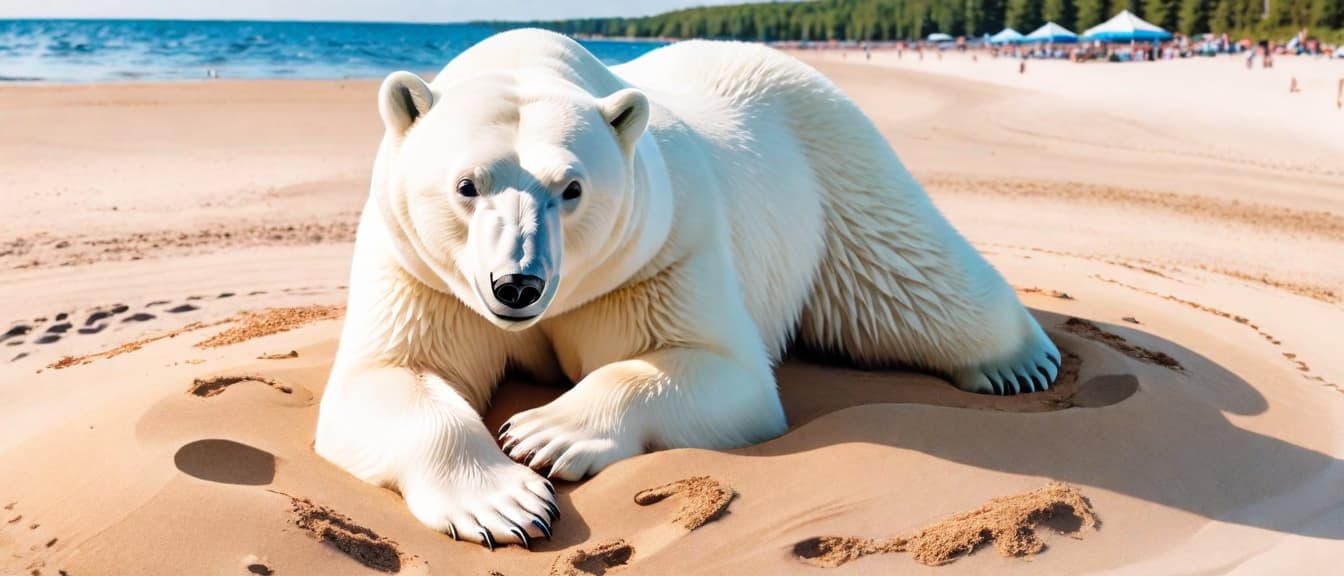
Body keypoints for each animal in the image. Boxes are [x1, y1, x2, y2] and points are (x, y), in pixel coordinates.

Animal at [314, 28, 1059, 547]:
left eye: (572, 188)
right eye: (467, 185)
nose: (516, 284)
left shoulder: (663, 253)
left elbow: (723, 370)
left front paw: (545, 433)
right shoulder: (418, 272)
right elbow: (390, 373)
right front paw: (502, 503)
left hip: (838, 167)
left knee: (913, 279)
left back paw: (1020, 361)